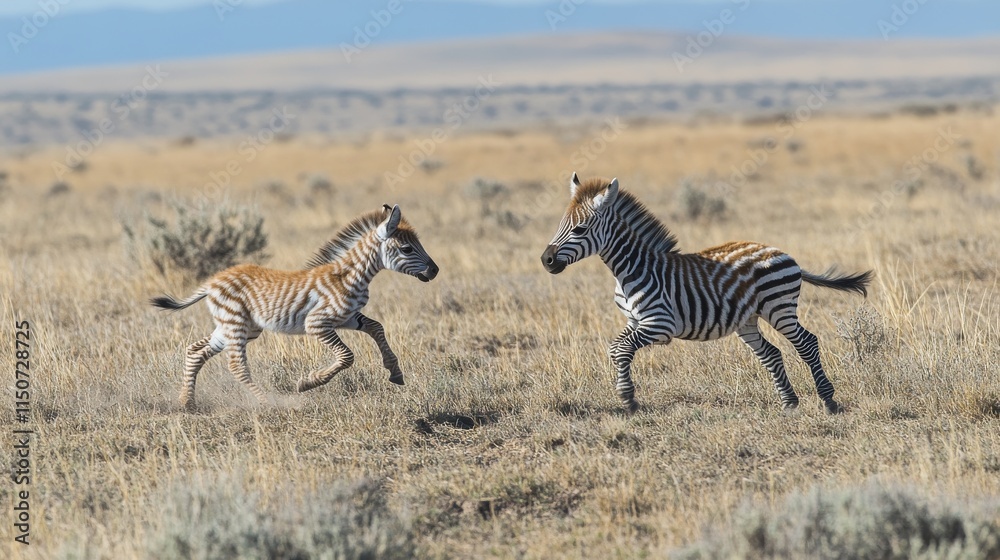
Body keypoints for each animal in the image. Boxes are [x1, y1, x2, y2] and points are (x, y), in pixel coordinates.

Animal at [151, 204, 438, 409]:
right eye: (406, 249)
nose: (435, 271)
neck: (349, 276)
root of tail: (211, 282)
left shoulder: (347, 317)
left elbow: (377, 327)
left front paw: (395, 372)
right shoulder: (317, 323)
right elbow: (347, 357)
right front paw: (307, 383)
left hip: (238, 326)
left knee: (195, 351)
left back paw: (187, 401)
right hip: (236, 324)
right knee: (236, 365)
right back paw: (266, 402)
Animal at [541, 174, 872, 414]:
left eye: (580, 229)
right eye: (561, 225)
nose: (546, 260)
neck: (631, 268)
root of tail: (783, 253)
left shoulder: (660, 325)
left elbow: (620, 349)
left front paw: (629, 399)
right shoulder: (635, 322)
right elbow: (616, 348)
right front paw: (627, 396)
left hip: (779, 308)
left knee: (807, 343)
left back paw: (829, 401)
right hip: (747, 320)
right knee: (771, 353)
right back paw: (789, 403)